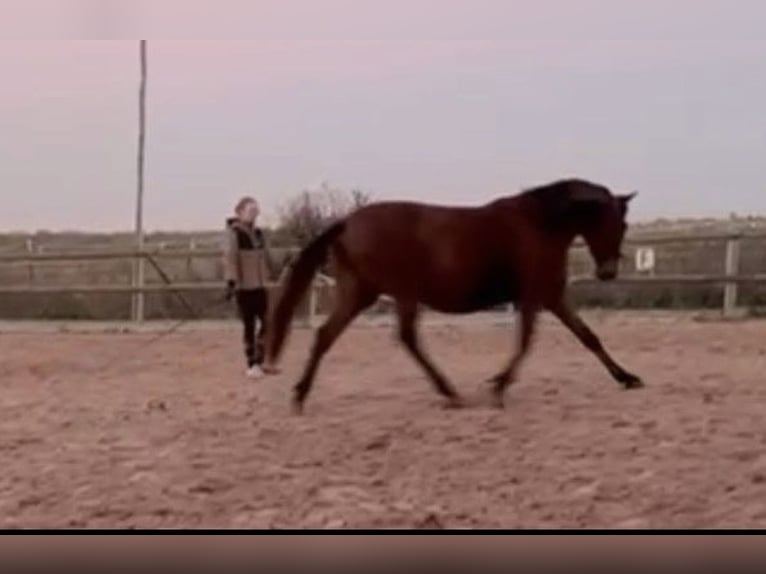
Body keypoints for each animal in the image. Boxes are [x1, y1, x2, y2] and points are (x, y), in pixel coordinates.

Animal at [268, 179, 644, 414]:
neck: (540, 226)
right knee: (406, 338)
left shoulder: (551, 296)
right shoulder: (533, 298)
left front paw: (627, 378)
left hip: (360, 292)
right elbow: (526, 343)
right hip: (401, 293)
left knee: (325, 335)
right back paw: (449, 392)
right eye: (618, 224)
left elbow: (588, 336)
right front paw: (498, 387)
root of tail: (347, 222)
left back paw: (300, 396)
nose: (608, 272)